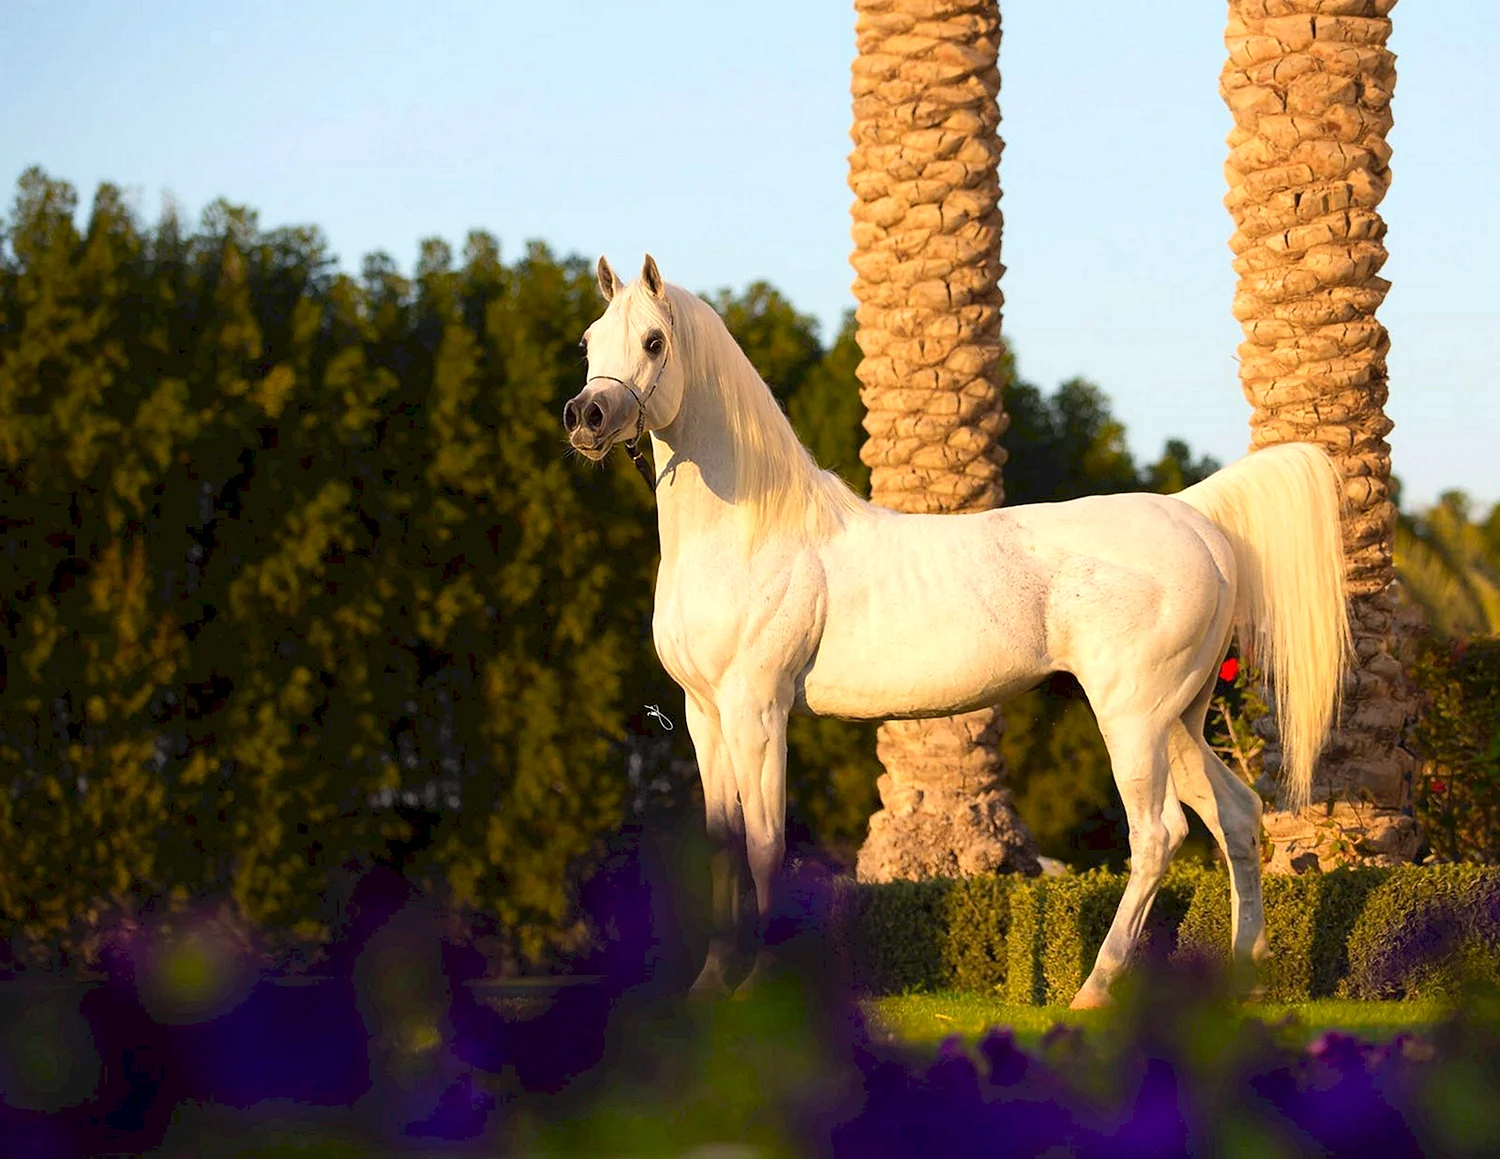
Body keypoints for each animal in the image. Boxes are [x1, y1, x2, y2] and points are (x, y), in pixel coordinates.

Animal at [561, 253, 1350, 1001]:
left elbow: (763, 845)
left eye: (654, 341)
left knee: (1158, 836)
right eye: (590, 340)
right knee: (1237, 815)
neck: (756, 532)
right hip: (1178, 717)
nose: (586, 417)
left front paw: (756, 984)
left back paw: (1094, 989)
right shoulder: (705, 714)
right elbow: (723, 846)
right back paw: (1245, 977)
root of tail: (1193, 515)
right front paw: (711, 984)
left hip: (1133, 717)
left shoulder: (758, 709)